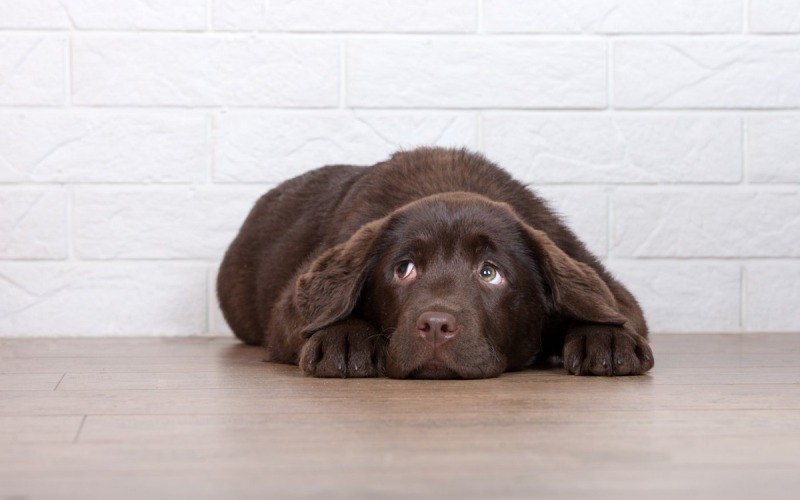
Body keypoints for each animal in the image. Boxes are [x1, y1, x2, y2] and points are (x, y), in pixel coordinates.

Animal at [216, 147, 652, 378]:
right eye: (403, 269)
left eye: (490, 273)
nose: (437, 326)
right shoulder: (292, 301)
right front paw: (344, 338)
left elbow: (613, 308)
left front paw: (606, 338)